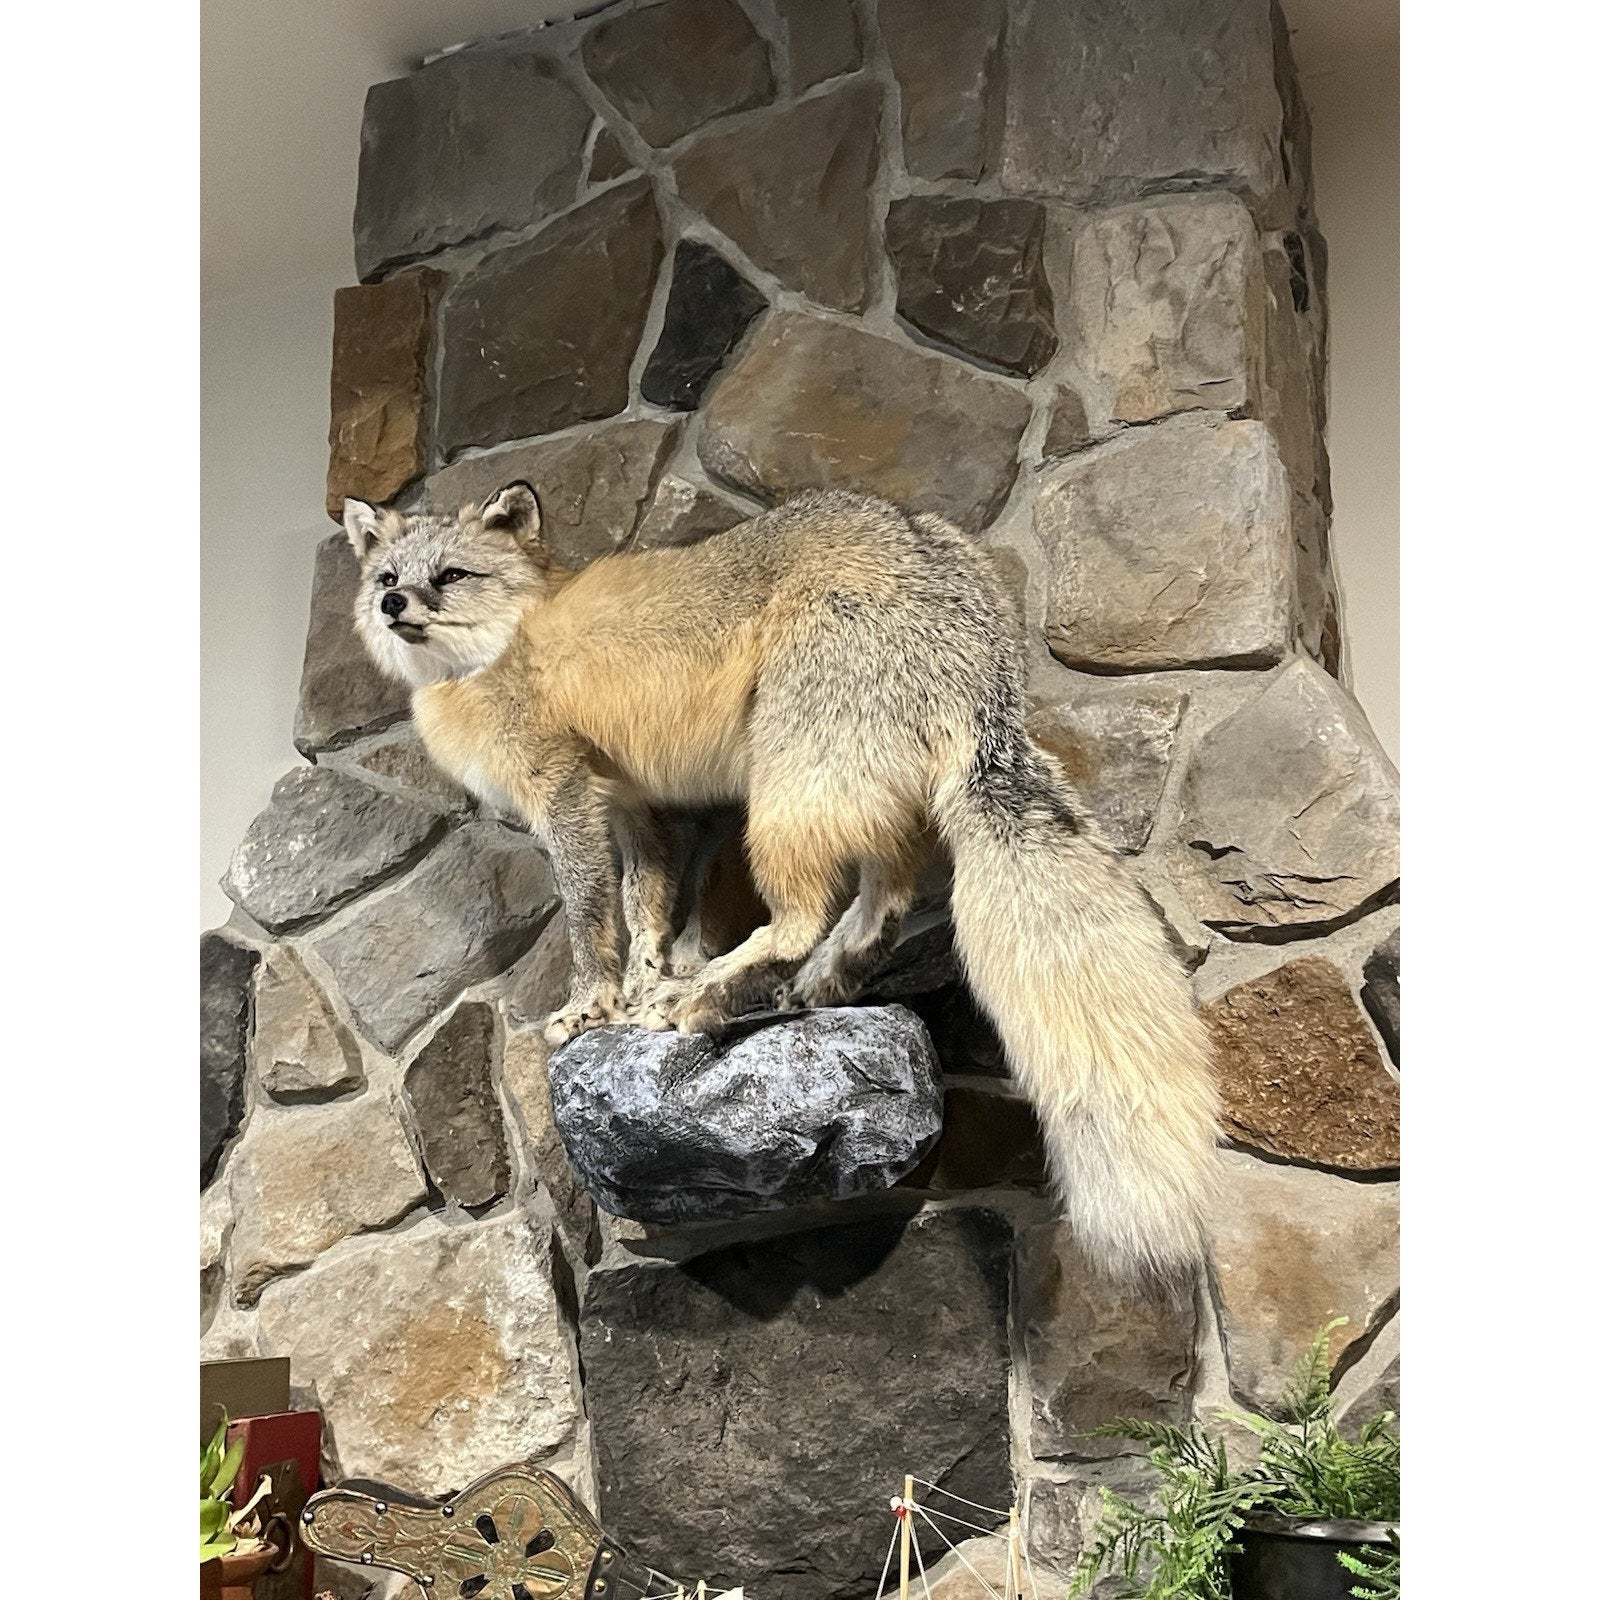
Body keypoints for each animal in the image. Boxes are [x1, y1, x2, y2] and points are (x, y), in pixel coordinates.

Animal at [344, 481, 1219, 1281]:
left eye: (449, 575)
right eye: (387, 573)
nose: (391, 603)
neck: (505, 648)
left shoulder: (567, 799)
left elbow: (592, 917)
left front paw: (594, 1005)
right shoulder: (635, 807)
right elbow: (646, 908)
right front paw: (642, 980)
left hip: (784, 796)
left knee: (803, 917)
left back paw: (706, 998)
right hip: (864, 804)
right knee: (882, 908)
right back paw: (811, 988)